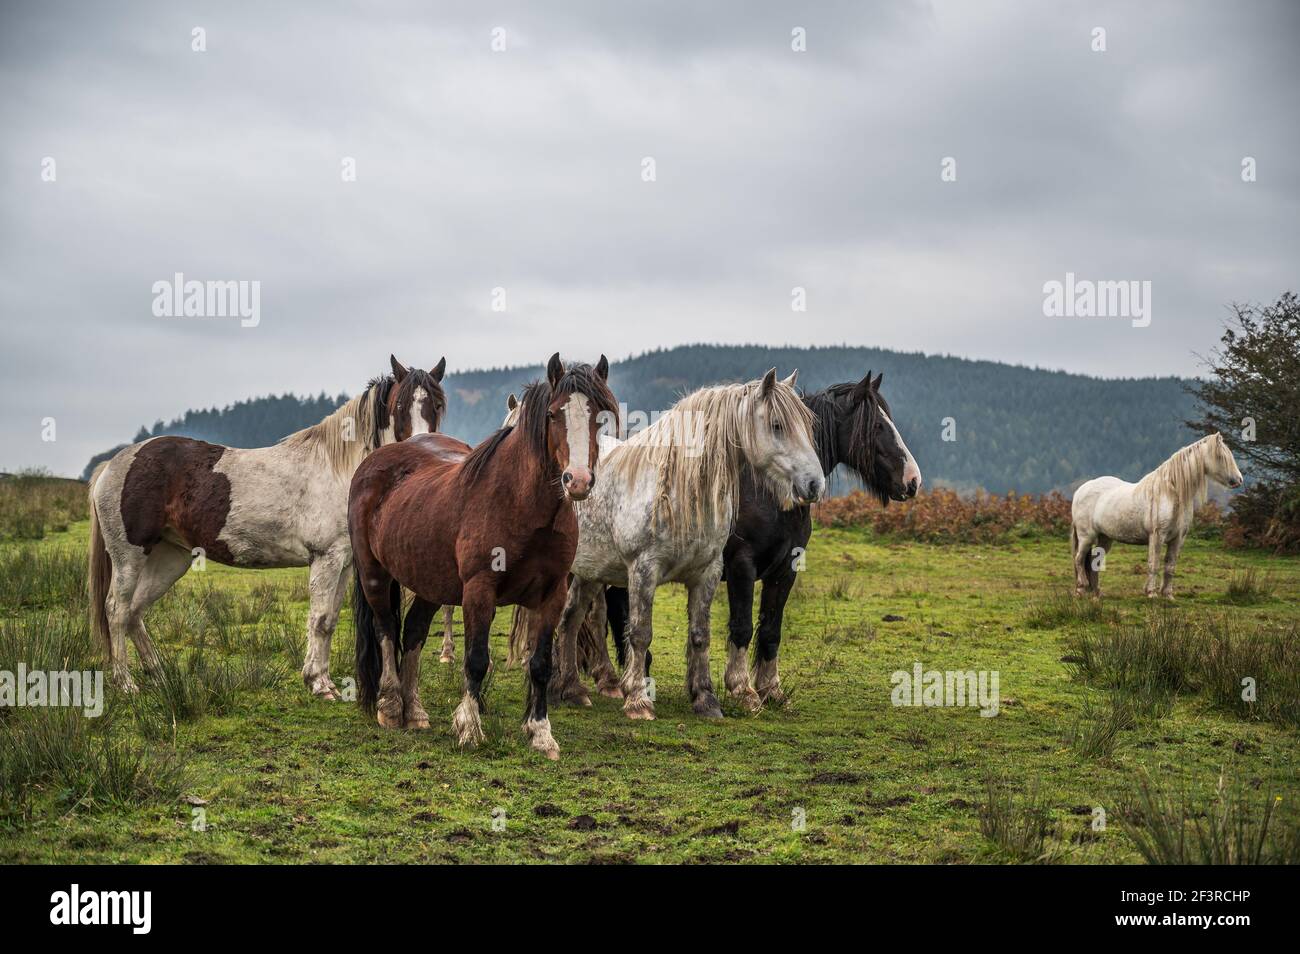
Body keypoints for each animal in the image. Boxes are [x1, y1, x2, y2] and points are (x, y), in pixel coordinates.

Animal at [90, 356, 447, 696]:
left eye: (438, 404)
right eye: (399, 406)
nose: (421, 447)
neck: (337, 469)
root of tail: (113, 465)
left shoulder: (345, 563)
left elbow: (330, 620)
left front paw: (325, 681)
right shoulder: (325, 559)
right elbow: (319, 619)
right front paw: (318, 683)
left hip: (169, 558)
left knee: (135, 611)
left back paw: (159, 675)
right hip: (130, 557)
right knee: (117, 610)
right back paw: (126, 683)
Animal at [348, 353, 616, 764]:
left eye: (599, 415)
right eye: (553, 414)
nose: (578, 480)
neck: (523, 503)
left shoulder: (552, 594)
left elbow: (540, 663)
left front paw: (541, 733)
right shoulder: (479, 589)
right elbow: (475, 659)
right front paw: (470, 729)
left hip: (431, 582)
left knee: (413, 631)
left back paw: (415, 710)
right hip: (374, 574)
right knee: (386, 630)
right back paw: (391, 705)